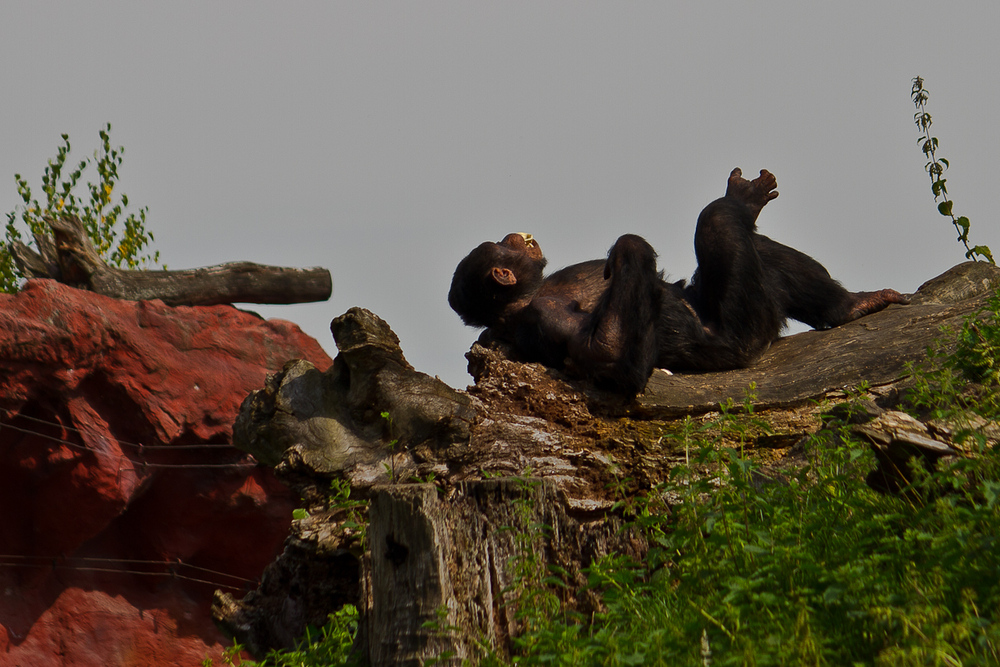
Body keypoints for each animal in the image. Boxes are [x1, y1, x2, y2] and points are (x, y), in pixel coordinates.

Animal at [450, 168, 912, 396]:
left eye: (501, 242)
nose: (519, 235)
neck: (531, 293)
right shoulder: (547, 314)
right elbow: (608, 356)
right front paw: (629, 247)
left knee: (759, 252)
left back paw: (851, 304)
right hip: (746, 330)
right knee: (716, 221)